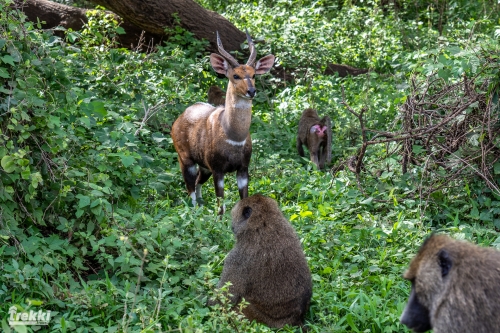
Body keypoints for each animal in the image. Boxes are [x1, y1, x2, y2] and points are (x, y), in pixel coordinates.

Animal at [171, 30, 274, 213]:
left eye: (253, 75)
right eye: (235, 75)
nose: (251, 91)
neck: (233, 136)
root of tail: (178, 119)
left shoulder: (243, 168)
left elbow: (244, 200)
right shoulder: (218, 169)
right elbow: (221, 205)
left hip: (204, 167)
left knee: (197, 183)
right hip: (185, 159)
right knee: (190, 189)